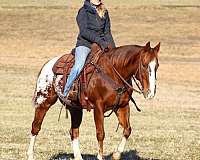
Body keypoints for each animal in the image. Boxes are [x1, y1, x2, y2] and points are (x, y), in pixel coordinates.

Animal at [27, 41, 161, 160]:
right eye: (144, 65)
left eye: (157, 66)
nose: (151, 92)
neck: (113, 73)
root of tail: (48, 64)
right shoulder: (98, 107)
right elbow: (100, 133)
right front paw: (101, 157)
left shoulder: (122, 106)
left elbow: (127, 130)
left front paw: (116, 155)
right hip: (44, 101)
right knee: (36, 127)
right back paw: (30, 155)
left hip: (75, 108)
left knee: (73, 131)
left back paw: (78, 157)